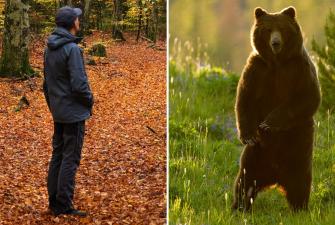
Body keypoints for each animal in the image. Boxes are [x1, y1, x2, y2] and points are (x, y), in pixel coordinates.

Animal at [234, 6, 322, 212]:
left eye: (282, 28)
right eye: (268, 29)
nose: (275, 43)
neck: (277, 62)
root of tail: (275, 178)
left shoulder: (299, 68)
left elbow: (308, 97)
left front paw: (268, 124)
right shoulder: (257, 69)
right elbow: (245, 98)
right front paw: (248, 135)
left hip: (299, 146)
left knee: (300, 181)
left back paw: (299, 209)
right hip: (256, 155)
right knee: (245, 180)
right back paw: (238, 207)